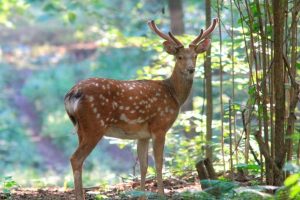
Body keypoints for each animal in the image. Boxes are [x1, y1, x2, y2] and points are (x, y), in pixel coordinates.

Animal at [64, 18, 218, 199]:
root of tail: (72, 94)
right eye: (179, 57)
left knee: (78, 160)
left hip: (81, 129)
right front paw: (161, 194)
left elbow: (144, 166)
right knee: (76, 159)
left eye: (195, 56)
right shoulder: (159, 126)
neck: (173, 93)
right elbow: (158, 163)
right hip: (94, 125)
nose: (191, 69)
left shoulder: (142, 135)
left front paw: (143, 195)